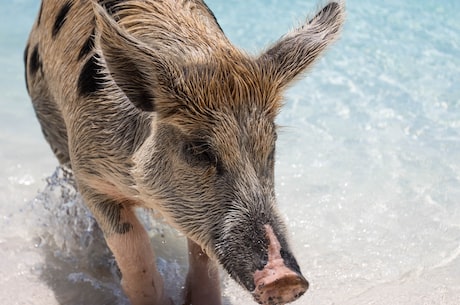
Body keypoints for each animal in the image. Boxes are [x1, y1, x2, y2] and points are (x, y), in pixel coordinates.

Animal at [23, 0, 344, 304]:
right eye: (199, 149)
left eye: (270, 144)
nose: (285, 279)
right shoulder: (89, 173)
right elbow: (132, 244)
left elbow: (203, 253)